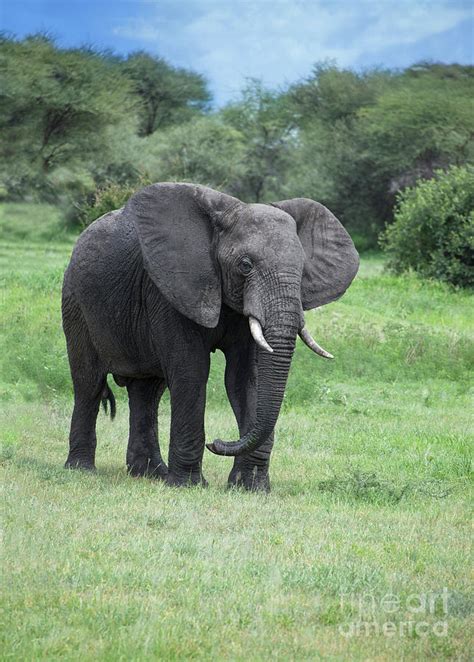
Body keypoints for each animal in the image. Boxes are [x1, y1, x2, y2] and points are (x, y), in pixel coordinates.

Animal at [63, 184, 360, 490]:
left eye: (302, 270)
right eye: (245, 265)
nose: (217, 443)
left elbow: (246, 377)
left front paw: (249, 488)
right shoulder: (171, 289)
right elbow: (191, 371)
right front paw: (188, 485)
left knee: (148, 392)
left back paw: (150, 474)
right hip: (75, 301)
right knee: (89, 382)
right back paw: (82, 469)